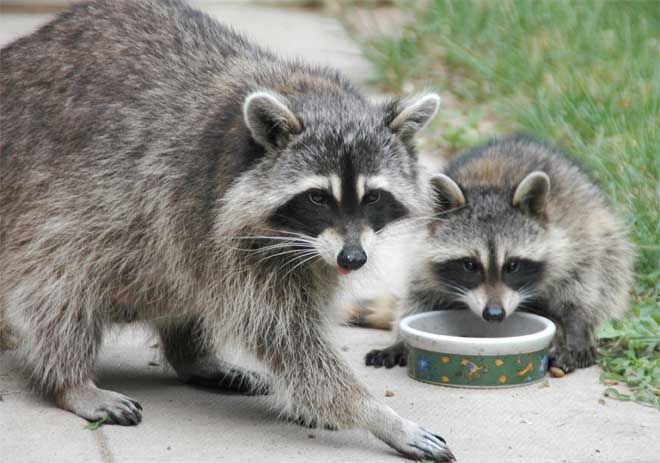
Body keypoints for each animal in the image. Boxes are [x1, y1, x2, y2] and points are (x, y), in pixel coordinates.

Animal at [0, 1, 454, 460]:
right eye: (317, 198)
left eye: (374, 197)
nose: (353, 259)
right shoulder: (208, 214)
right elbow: (288, 339)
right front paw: (374, 414)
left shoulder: (309, 253)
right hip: (54, 200)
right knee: (62, 280)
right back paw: (70, 380)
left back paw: (193, 357)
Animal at [366, 135, 633, 373]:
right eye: (470, 265)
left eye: (512, 266)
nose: (494, 314)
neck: (492, 187)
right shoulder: (422, 248)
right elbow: (419, 294)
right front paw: (401, 340)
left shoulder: (574, 238)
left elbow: (582, 285)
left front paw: (577, 326)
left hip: (602, 228)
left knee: (609, 266)